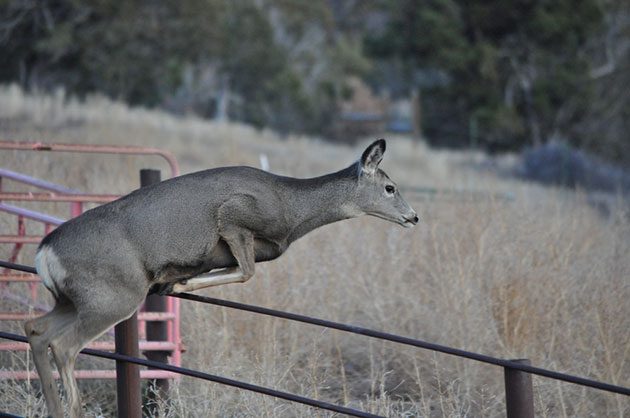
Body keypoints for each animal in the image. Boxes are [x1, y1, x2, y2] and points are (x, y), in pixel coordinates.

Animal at [25, 139, 420, 416]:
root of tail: (45, 252)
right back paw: (72, 410)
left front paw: (176, 281)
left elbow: (238, 270)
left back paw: (55, 408)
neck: (292, 210)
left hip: (72, 300)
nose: (414, 217)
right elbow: (247, 271)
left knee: (36, 329)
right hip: (114, 295)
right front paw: (177, 281)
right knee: (64, 345)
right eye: (390, 188)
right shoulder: (234, 216)